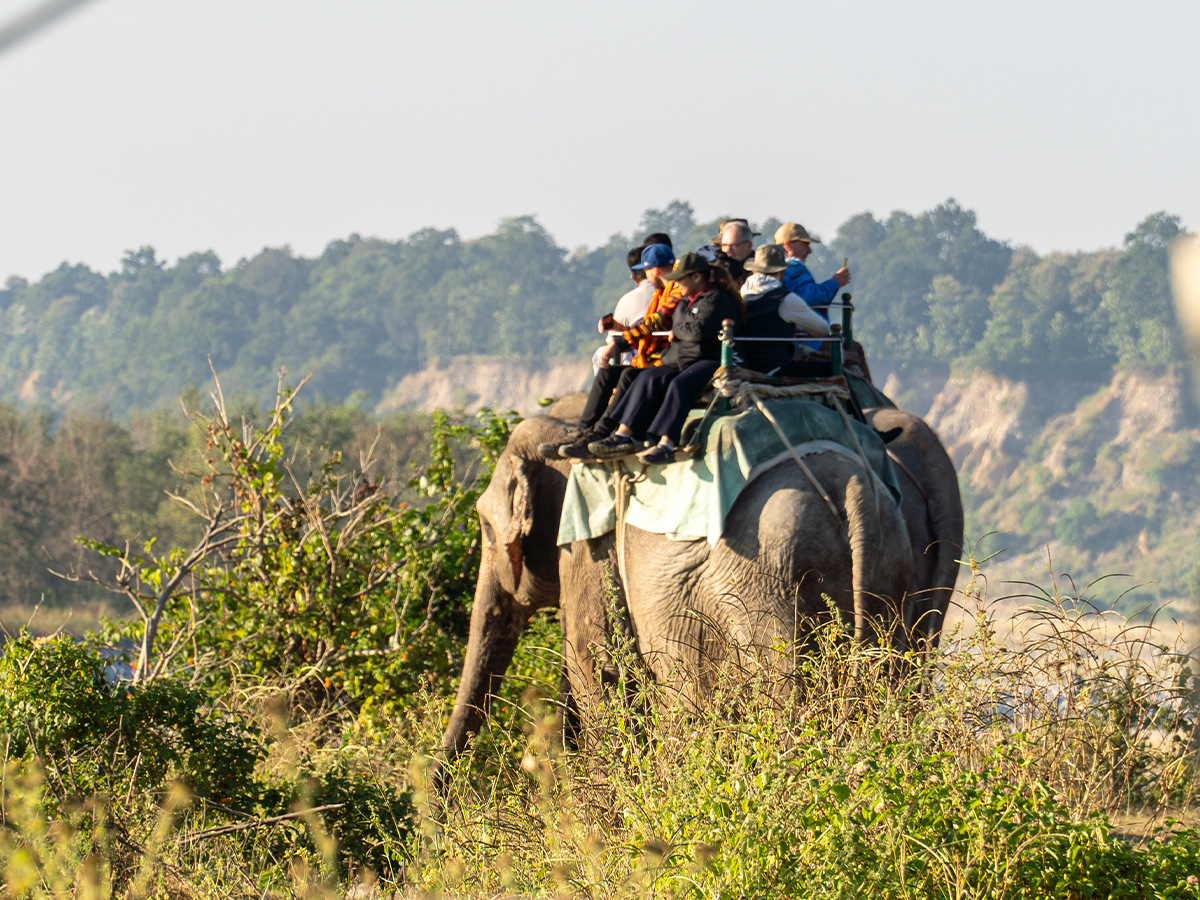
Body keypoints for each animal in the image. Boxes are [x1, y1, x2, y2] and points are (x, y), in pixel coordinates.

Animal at [439, 392, 921, 759]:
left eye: (486, 527)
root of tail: (853, 489)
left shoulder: (589, 548)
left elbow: (598, 671)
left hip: (767, 585)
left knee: (783, 697)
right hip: (890, 576)